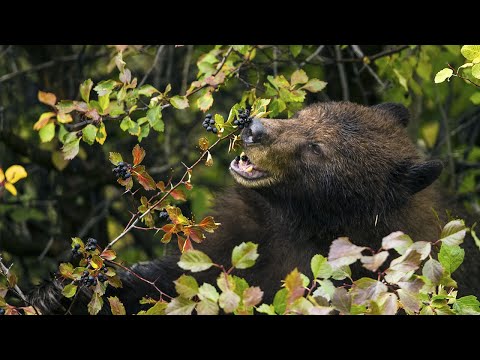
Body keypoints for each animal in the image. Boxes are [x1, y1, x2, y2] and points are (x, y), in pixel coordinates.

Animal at [29, 101, 480, 316]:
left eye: (317, 147)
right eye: (304, 113)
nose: (255, 128)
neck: (306, 225)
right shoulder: (244, 233)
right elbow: (173, 280)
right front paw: (59, 293)